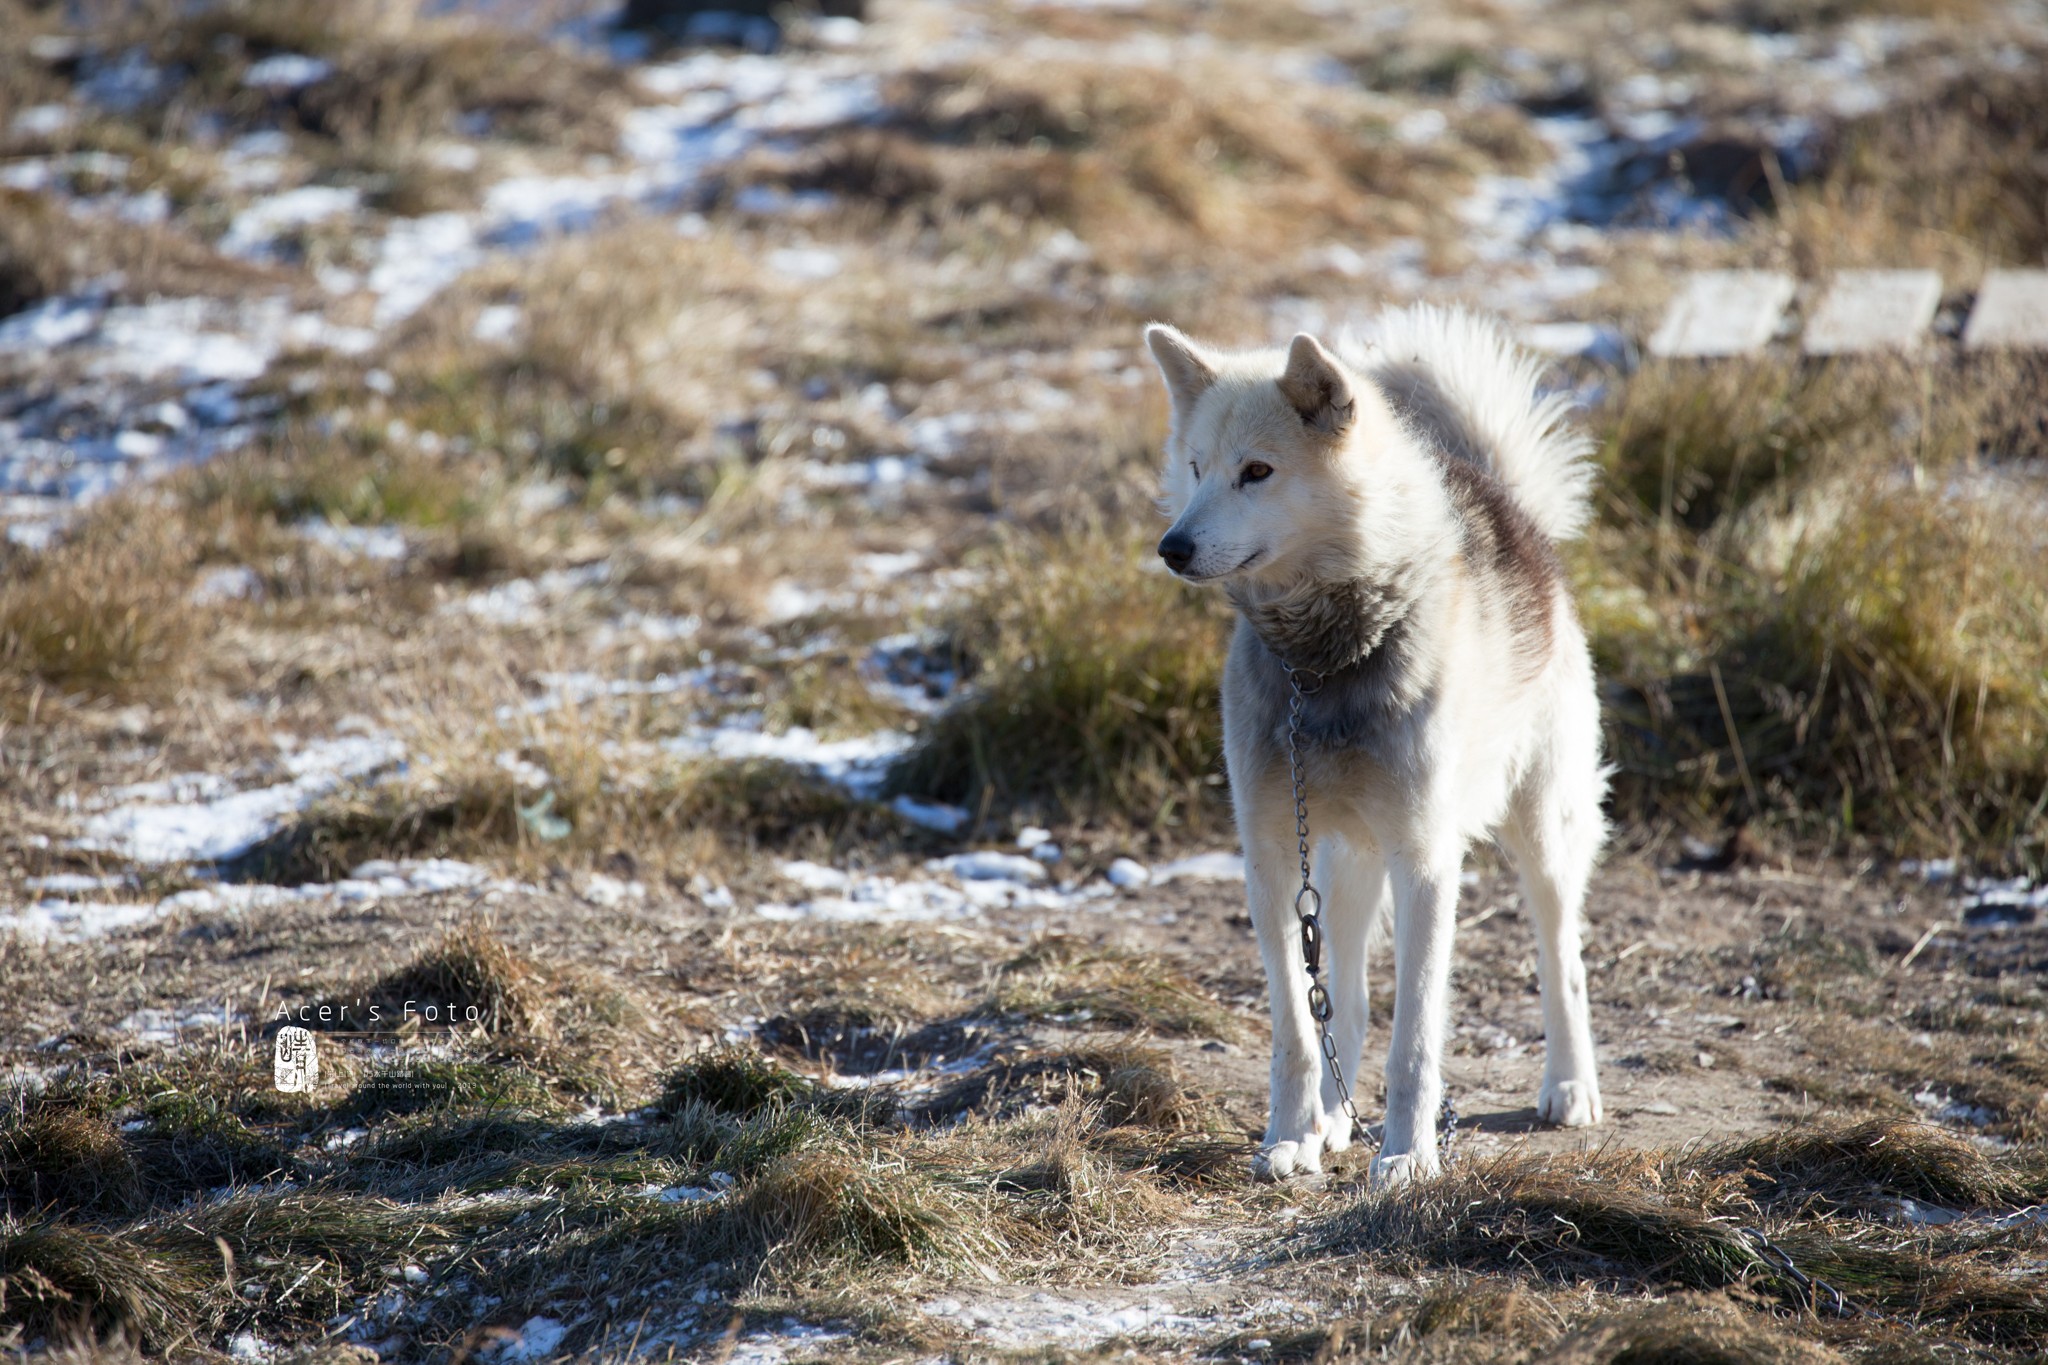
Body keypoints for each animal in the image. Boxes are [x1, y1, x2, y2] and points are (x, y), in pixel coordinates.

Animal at [1146, 306, 1605, 1186]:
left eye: (1257, 471)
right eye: (1196, 467)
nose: (1172, 548)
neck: (1322, 662)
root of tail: (1504, 503)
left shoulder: (1425, 861)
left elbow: (1415, 1040)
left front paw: (1406, 1155)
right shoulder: (1268, 859)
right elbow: (1297, 1027)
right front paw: (1290, 1136)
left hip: (1541, 832)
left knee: (1560, 957)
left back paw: (1571, 1084)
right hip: (1340, 863)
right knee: (1348, 999)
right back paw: (1329, 1119)